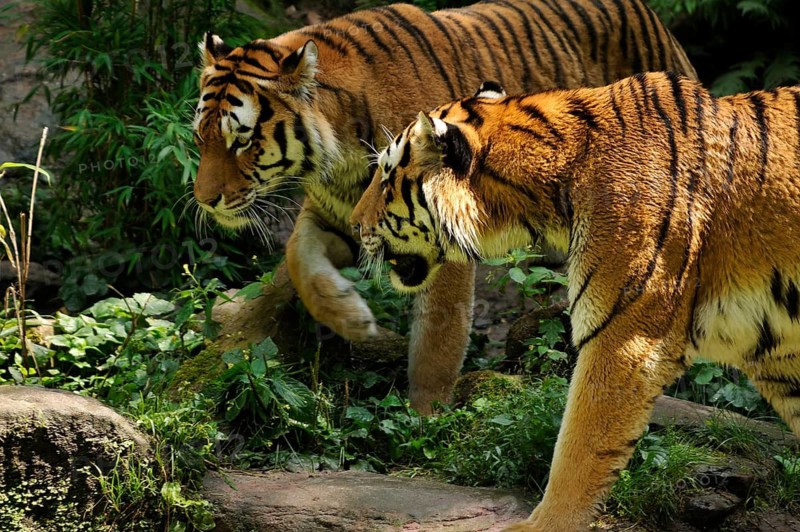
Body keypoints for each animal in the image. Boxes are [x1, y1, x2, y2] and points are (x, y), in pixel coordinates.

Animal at [191, 0, 697, 415]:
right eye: (201, 137)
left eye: (242, 140)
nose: (204, 201)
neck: (338, 154)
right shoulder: (337, 215)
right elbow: (298, 261)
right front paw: (350, 317)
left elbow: (439, 330)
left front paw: (425, 416)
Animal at [349, 71, 800, 529]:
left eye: (386, 179)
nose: (352, 225)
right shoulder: (778, 355)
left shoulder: (625, 338)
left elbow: (579, 446)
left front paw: (542, 525)